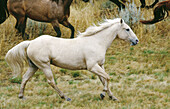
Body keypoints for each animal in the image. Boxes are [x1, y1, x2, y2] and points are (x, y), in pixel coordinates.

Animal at [5, 18, 138, 101]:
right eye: (127, 29)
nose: (136, 41)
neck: (97, 42)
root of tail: (31, 42)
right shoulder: (92, 67)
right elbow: (108, 78)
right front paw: (102, 94)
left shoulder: (100, 65)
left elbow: (104, 79)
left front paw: (112, 97)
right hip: (44, 65)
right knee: (51, 81)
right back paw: (65, 97)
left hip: (34, 66)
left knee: (25, 78)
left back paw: (21, 96)